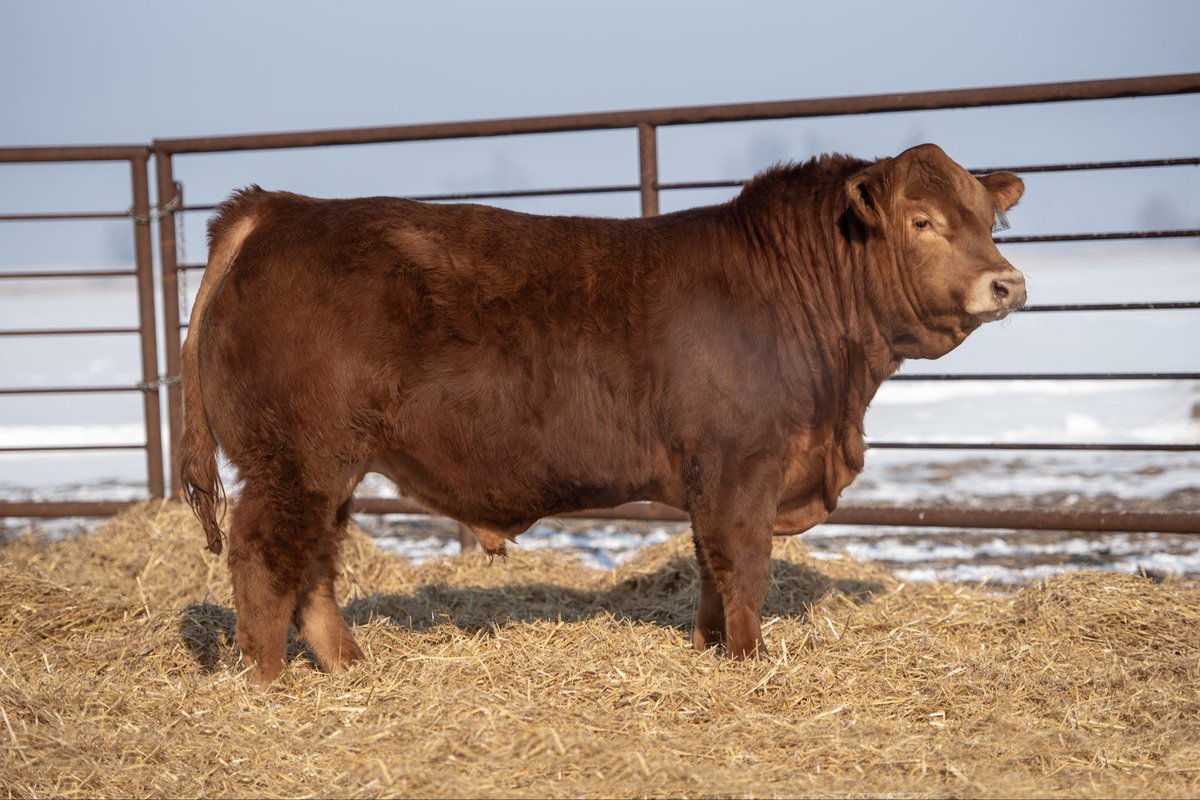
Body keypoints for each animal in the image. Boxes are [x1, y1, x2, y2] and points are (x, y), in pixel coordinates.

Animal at [179, 143, 1025, 687]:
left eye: (988, 220)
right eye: (922, 221)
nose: (1007, 283)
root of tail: (278, 209)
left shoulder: (711, 475)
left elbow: (710, 568)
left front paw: (708, 651)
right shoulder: (740, 465)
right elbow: (744, 567)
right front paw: (748, 663)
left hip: (328, 465)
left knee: (314, 564)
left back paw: (349, 668)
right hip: (297, 459)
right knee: (265, 557)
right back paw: (270, 684)